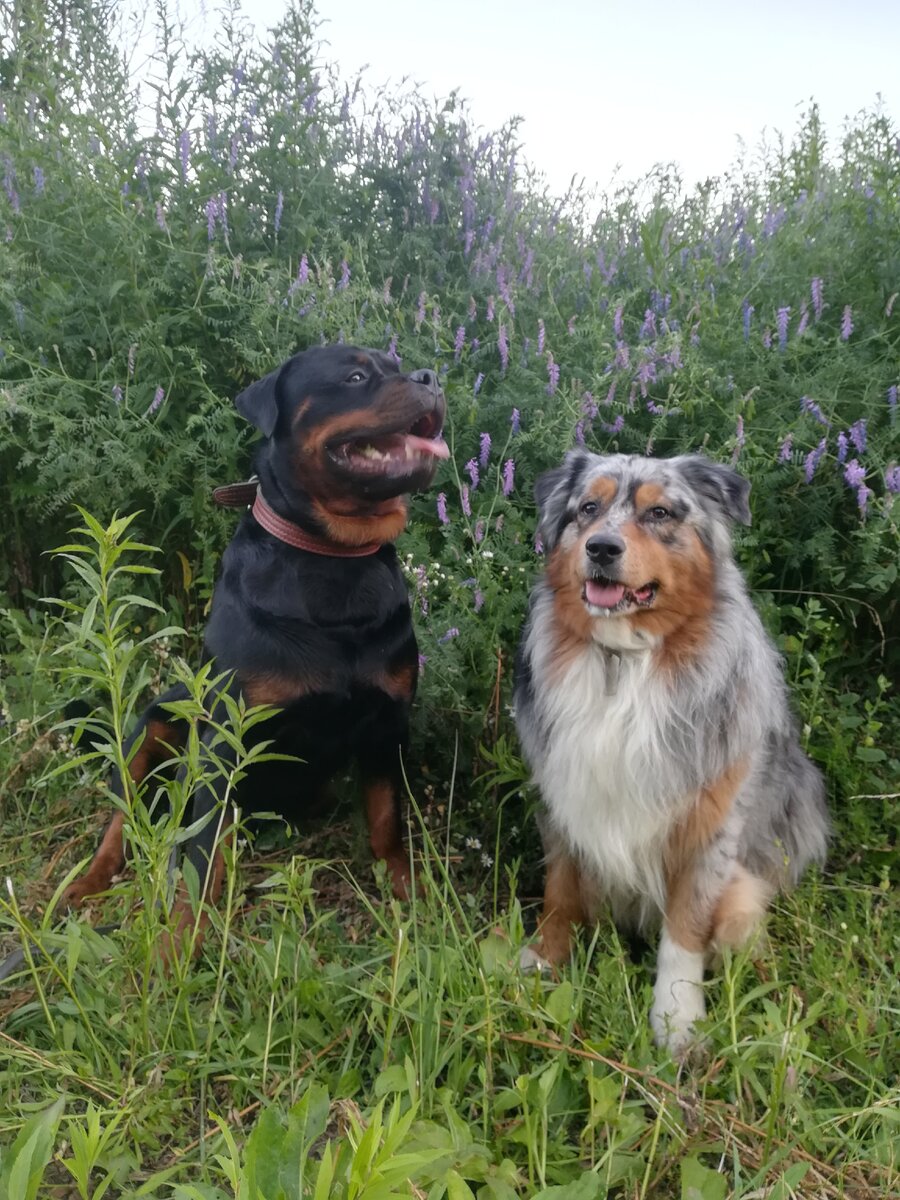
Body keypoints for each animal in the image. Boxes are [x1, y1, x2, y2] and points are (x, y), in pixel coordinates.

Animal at [65, 345, 451, 945]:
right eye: (355, 375)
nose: (430, 378)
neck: (334, 560)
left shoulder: (389, 723)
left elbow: (388, 819)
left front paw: (408, 894)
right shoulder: (225, 740)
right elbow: (200, 857)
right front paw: (181, 940)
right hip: (153, 728)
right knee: (122, 820)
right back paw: (87, 884)